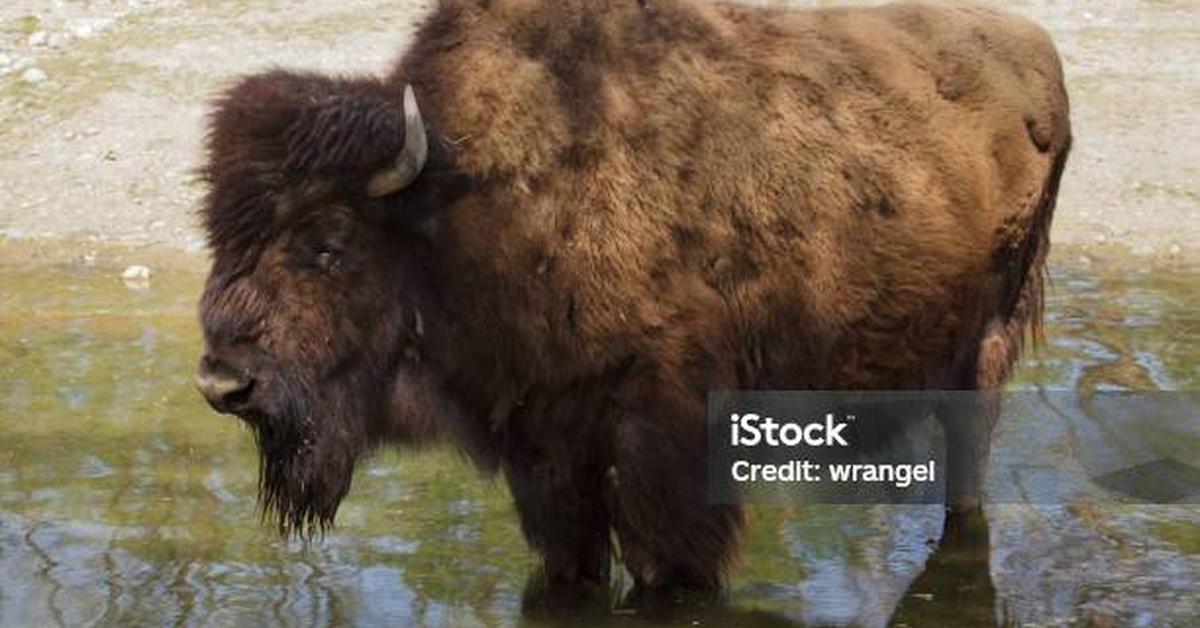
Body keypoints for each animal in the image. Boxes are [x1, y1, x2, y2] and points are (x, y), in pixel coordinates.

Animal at [194, 0, 1070, 595]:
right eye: (218, 234)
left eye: (329, 239)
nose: (222, 381)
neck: (466, 202)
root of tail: (1038, 53)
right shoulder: (547, 455)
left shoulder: (665, 447)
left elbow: (667, 565)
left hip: (984, 349)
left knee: (967, 472)